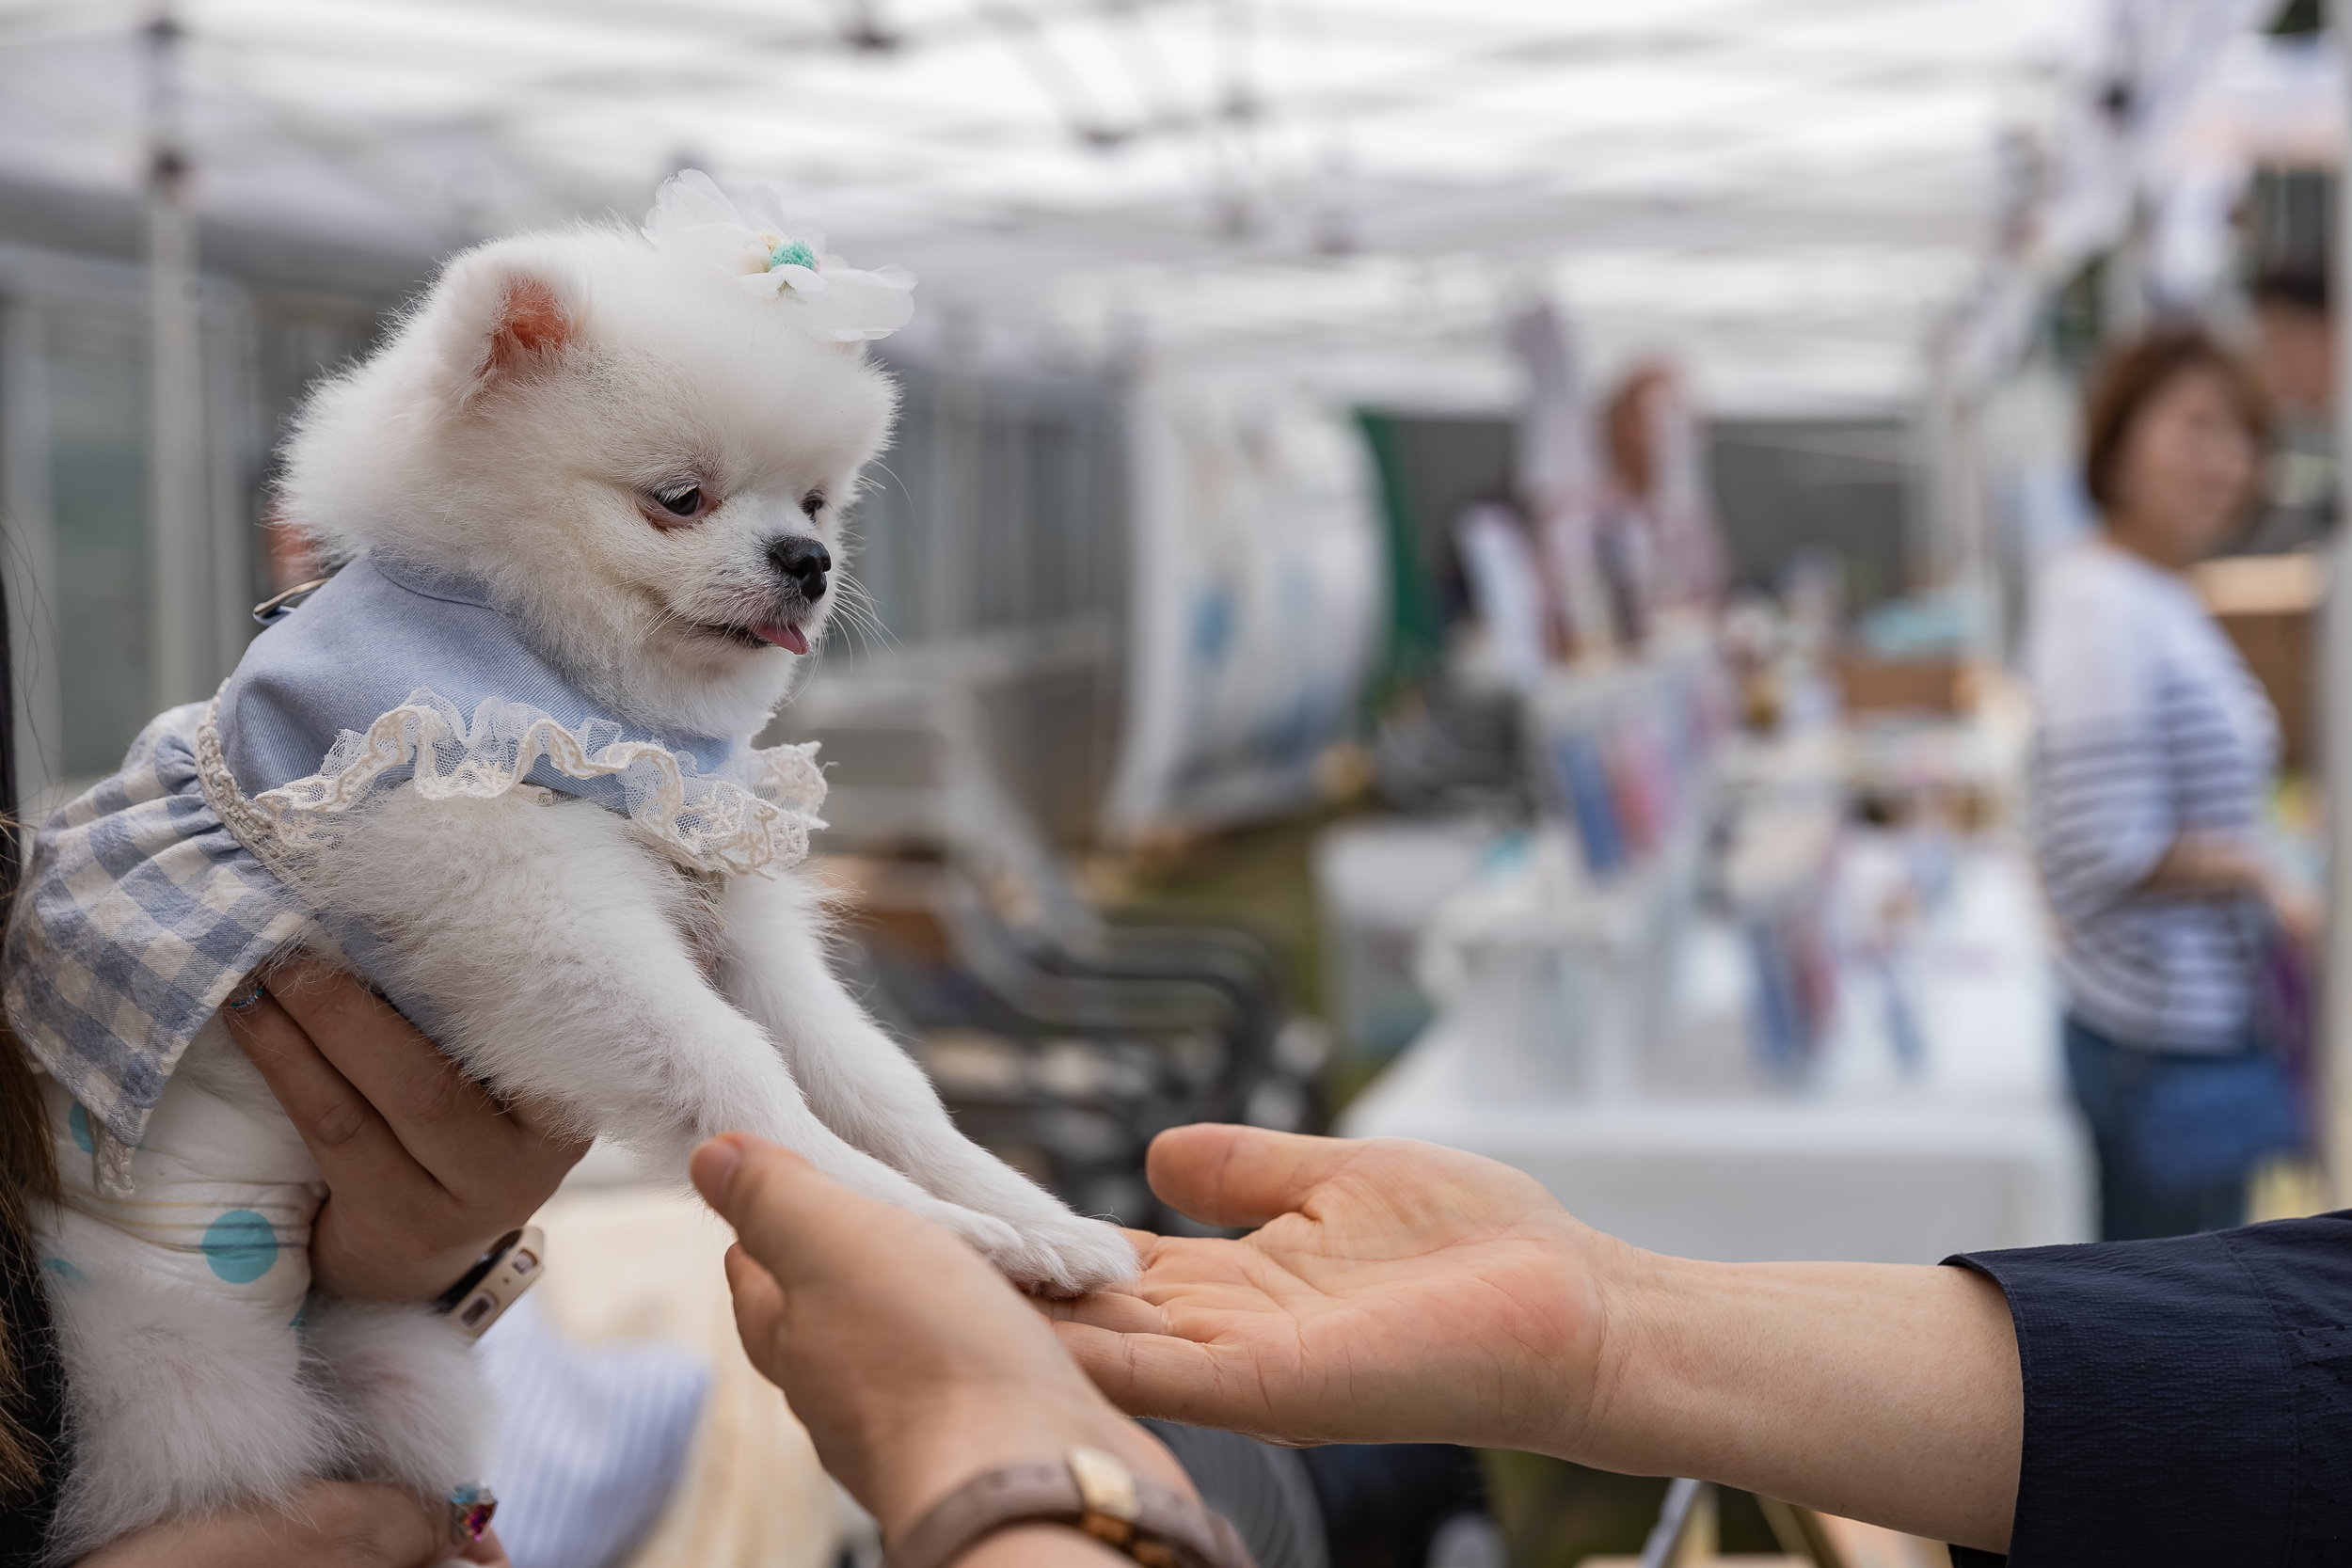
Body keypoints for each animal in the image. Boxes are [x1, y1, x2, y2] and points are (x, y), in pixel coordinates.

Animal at [4, 171, 1134, 1560]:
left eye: (816, 504)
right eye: (679, 496)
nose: (808, 562)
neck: (562, 679)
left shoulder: (719, 887)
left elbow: (871, 1080)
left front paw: (1032, 1215)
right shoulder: (535, 915)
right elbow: (744, 1079)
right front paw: (939, 1233)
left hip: (386, 1357)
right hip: (188, 1370)